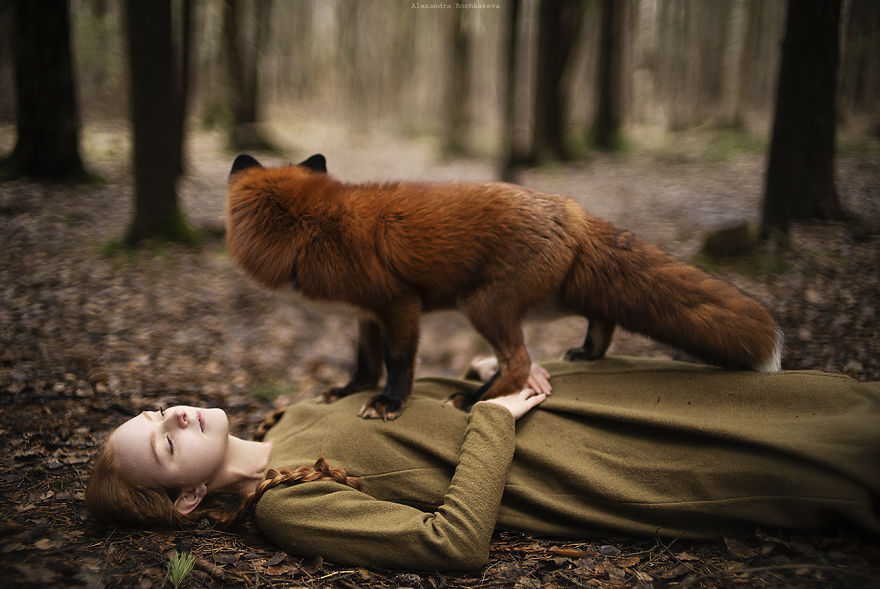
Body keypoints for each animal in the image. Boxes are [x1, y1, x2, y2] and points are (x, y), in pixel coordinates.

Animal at [226, 153, 782, 420]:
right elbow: (364, 363)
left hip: (483, 305)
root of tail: (570, 208)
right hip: (546, 300)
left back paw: (476, 400)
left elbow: (399, 364)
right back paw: (588, 352)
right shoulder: (365, 315)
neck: (314, 225)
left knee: (519, 362)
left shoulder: (399, 305)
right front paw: (349, 390)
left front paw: (390, 404)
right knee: (602, 315)